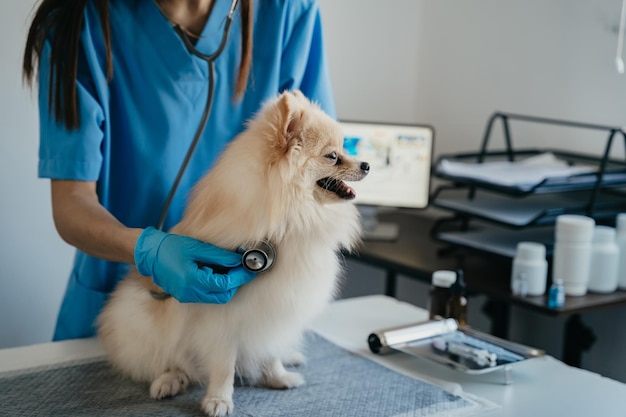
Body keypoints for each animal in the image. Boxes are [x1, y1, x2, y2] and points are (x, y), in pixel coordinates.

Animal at [97, 89, 368, 414]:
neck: (290, 219)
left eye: (345, 147)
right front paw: (219, 399)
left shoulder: (276, 310)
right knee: (162, 358)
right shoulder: (222, 318)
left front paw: (277, 377)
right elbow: (223, 365)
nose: (367, 165)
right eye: (333, 156)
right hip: (136, 316)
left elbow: (270, 350)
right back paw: (170, 379)